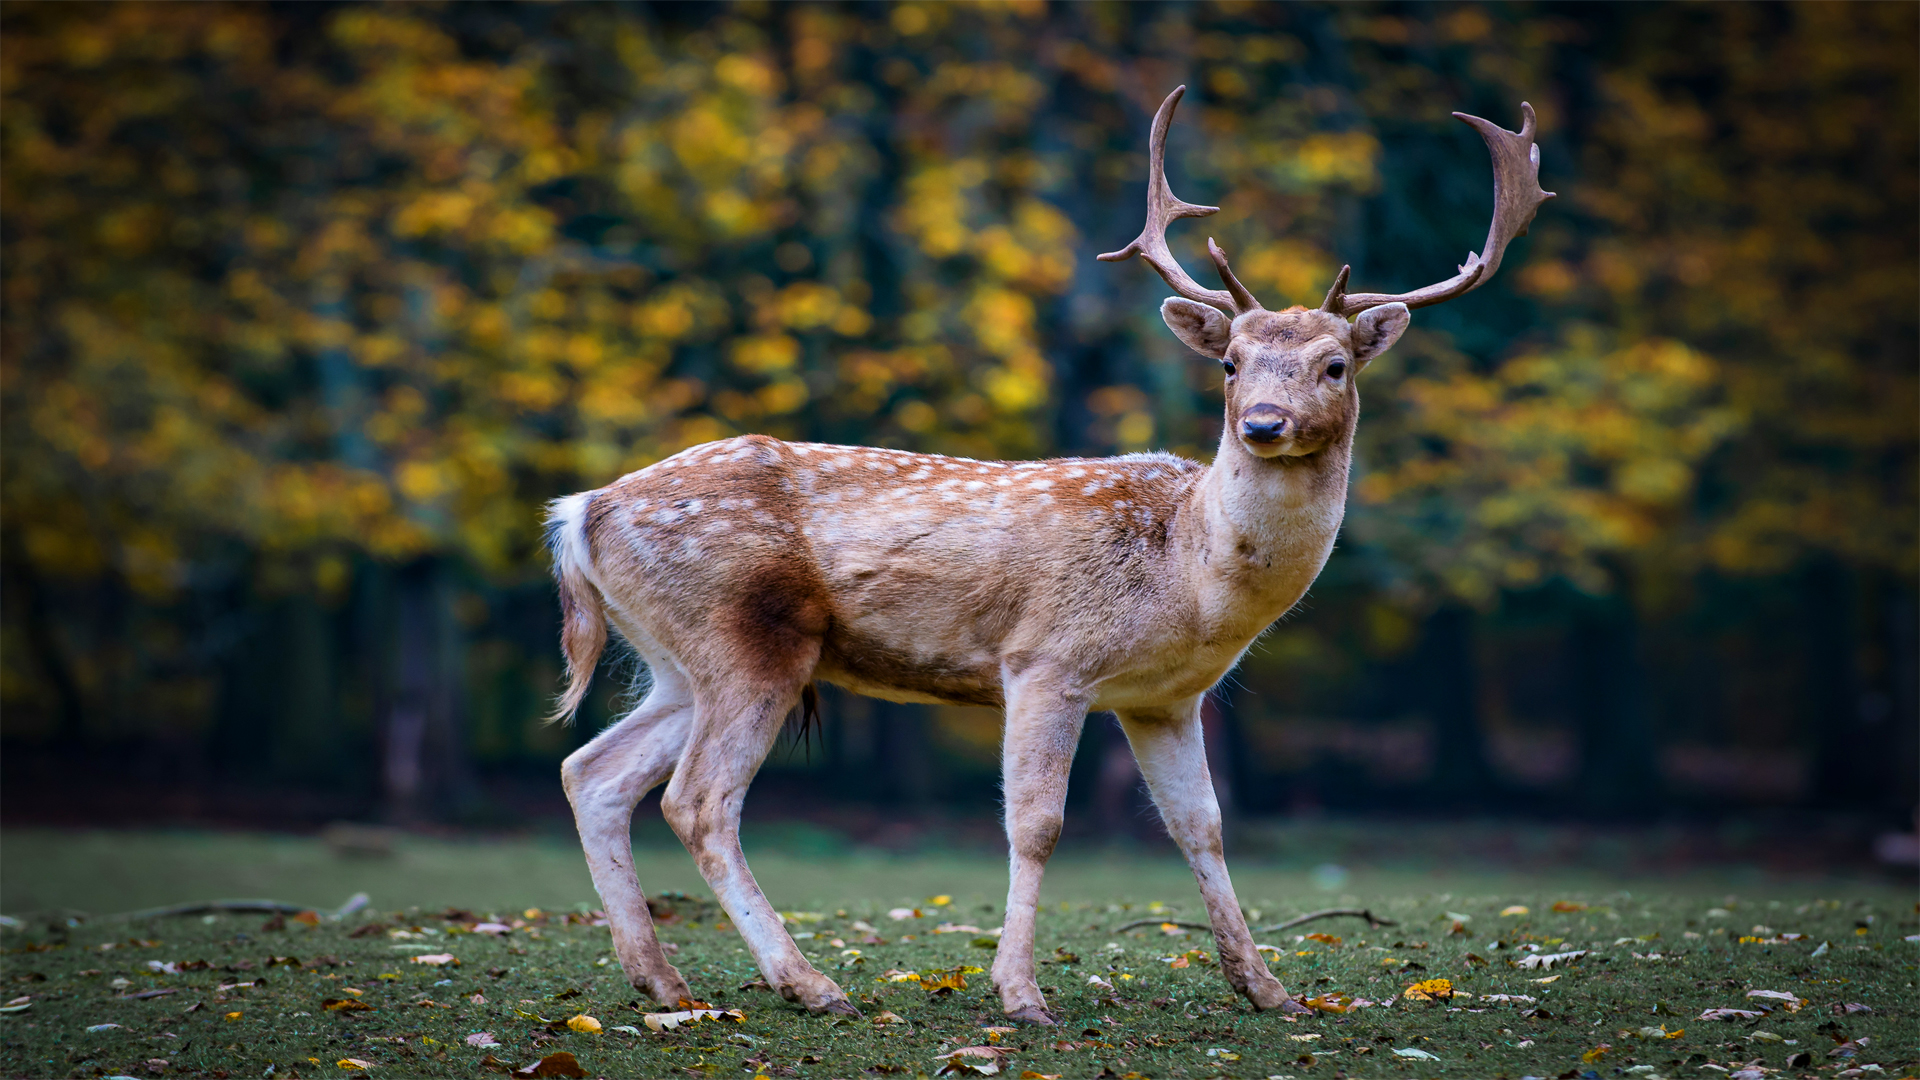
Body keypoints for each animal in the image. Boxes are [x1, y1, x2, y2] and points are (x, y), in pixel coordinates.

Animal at [548, 86, 1551, 1023]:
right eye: (1230, 365)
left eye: (1334, 365)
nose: (1264, 423)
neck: (1190, 577)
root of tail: (581, 510)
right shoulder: (1045, 660)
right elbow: (1036, 825)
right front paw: (1020, 994)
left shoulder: (1164, 698)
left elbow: (1203, 826)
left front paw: (1268, 989)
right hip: (744, 635)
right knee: (698, 800)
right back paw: (811, 984)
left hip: (679, 659)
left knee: (592, 773)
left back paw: (662, 981)